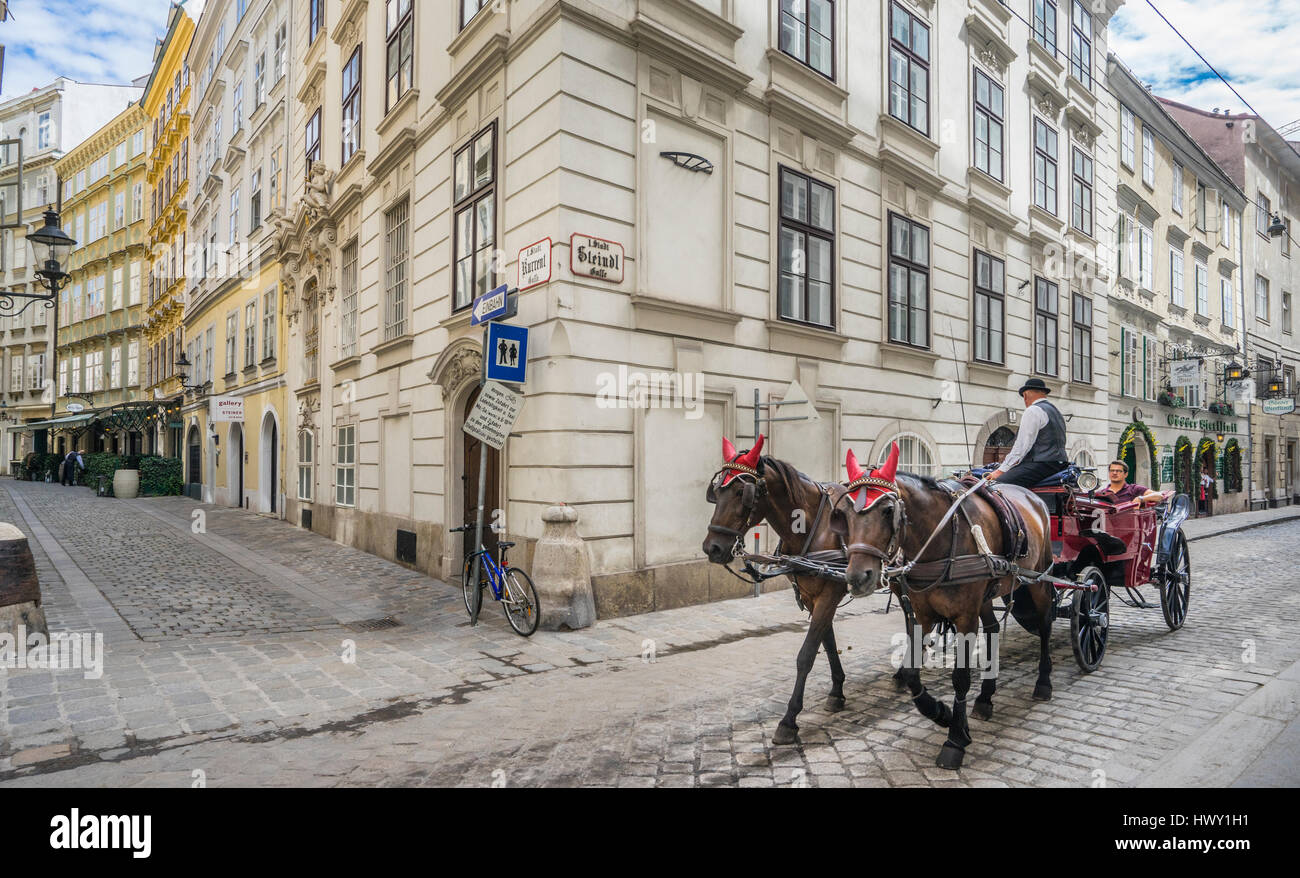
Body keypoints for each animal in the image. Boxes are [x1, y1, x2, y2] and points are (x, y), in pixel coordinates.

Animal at [707, 437, 857, 744]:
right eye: (716, 491)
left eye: (741, 492)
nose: (711, 547)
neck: (813, 525)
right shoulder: (813, 597)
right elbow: (828, 644)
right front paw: (837, 691)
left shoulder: (830, 595)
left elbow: (807, 655)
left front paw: (789, 719)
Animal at [832, 447, 1055, 770]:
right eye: (845, 514)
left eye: (887, 510)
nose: (858, 577)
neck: (940, 540)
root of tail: (1034, 498)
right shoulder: (923, 614)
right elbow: (911, 673)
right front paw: (941, 713)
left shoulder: (964, 617)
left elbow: (960, 678)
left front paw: (956, 738)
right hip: (986, 597)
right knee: (993, 629)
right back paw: (985, 698)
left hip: (1037, 579)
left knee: (1046, 623)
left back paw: (1043, 682)